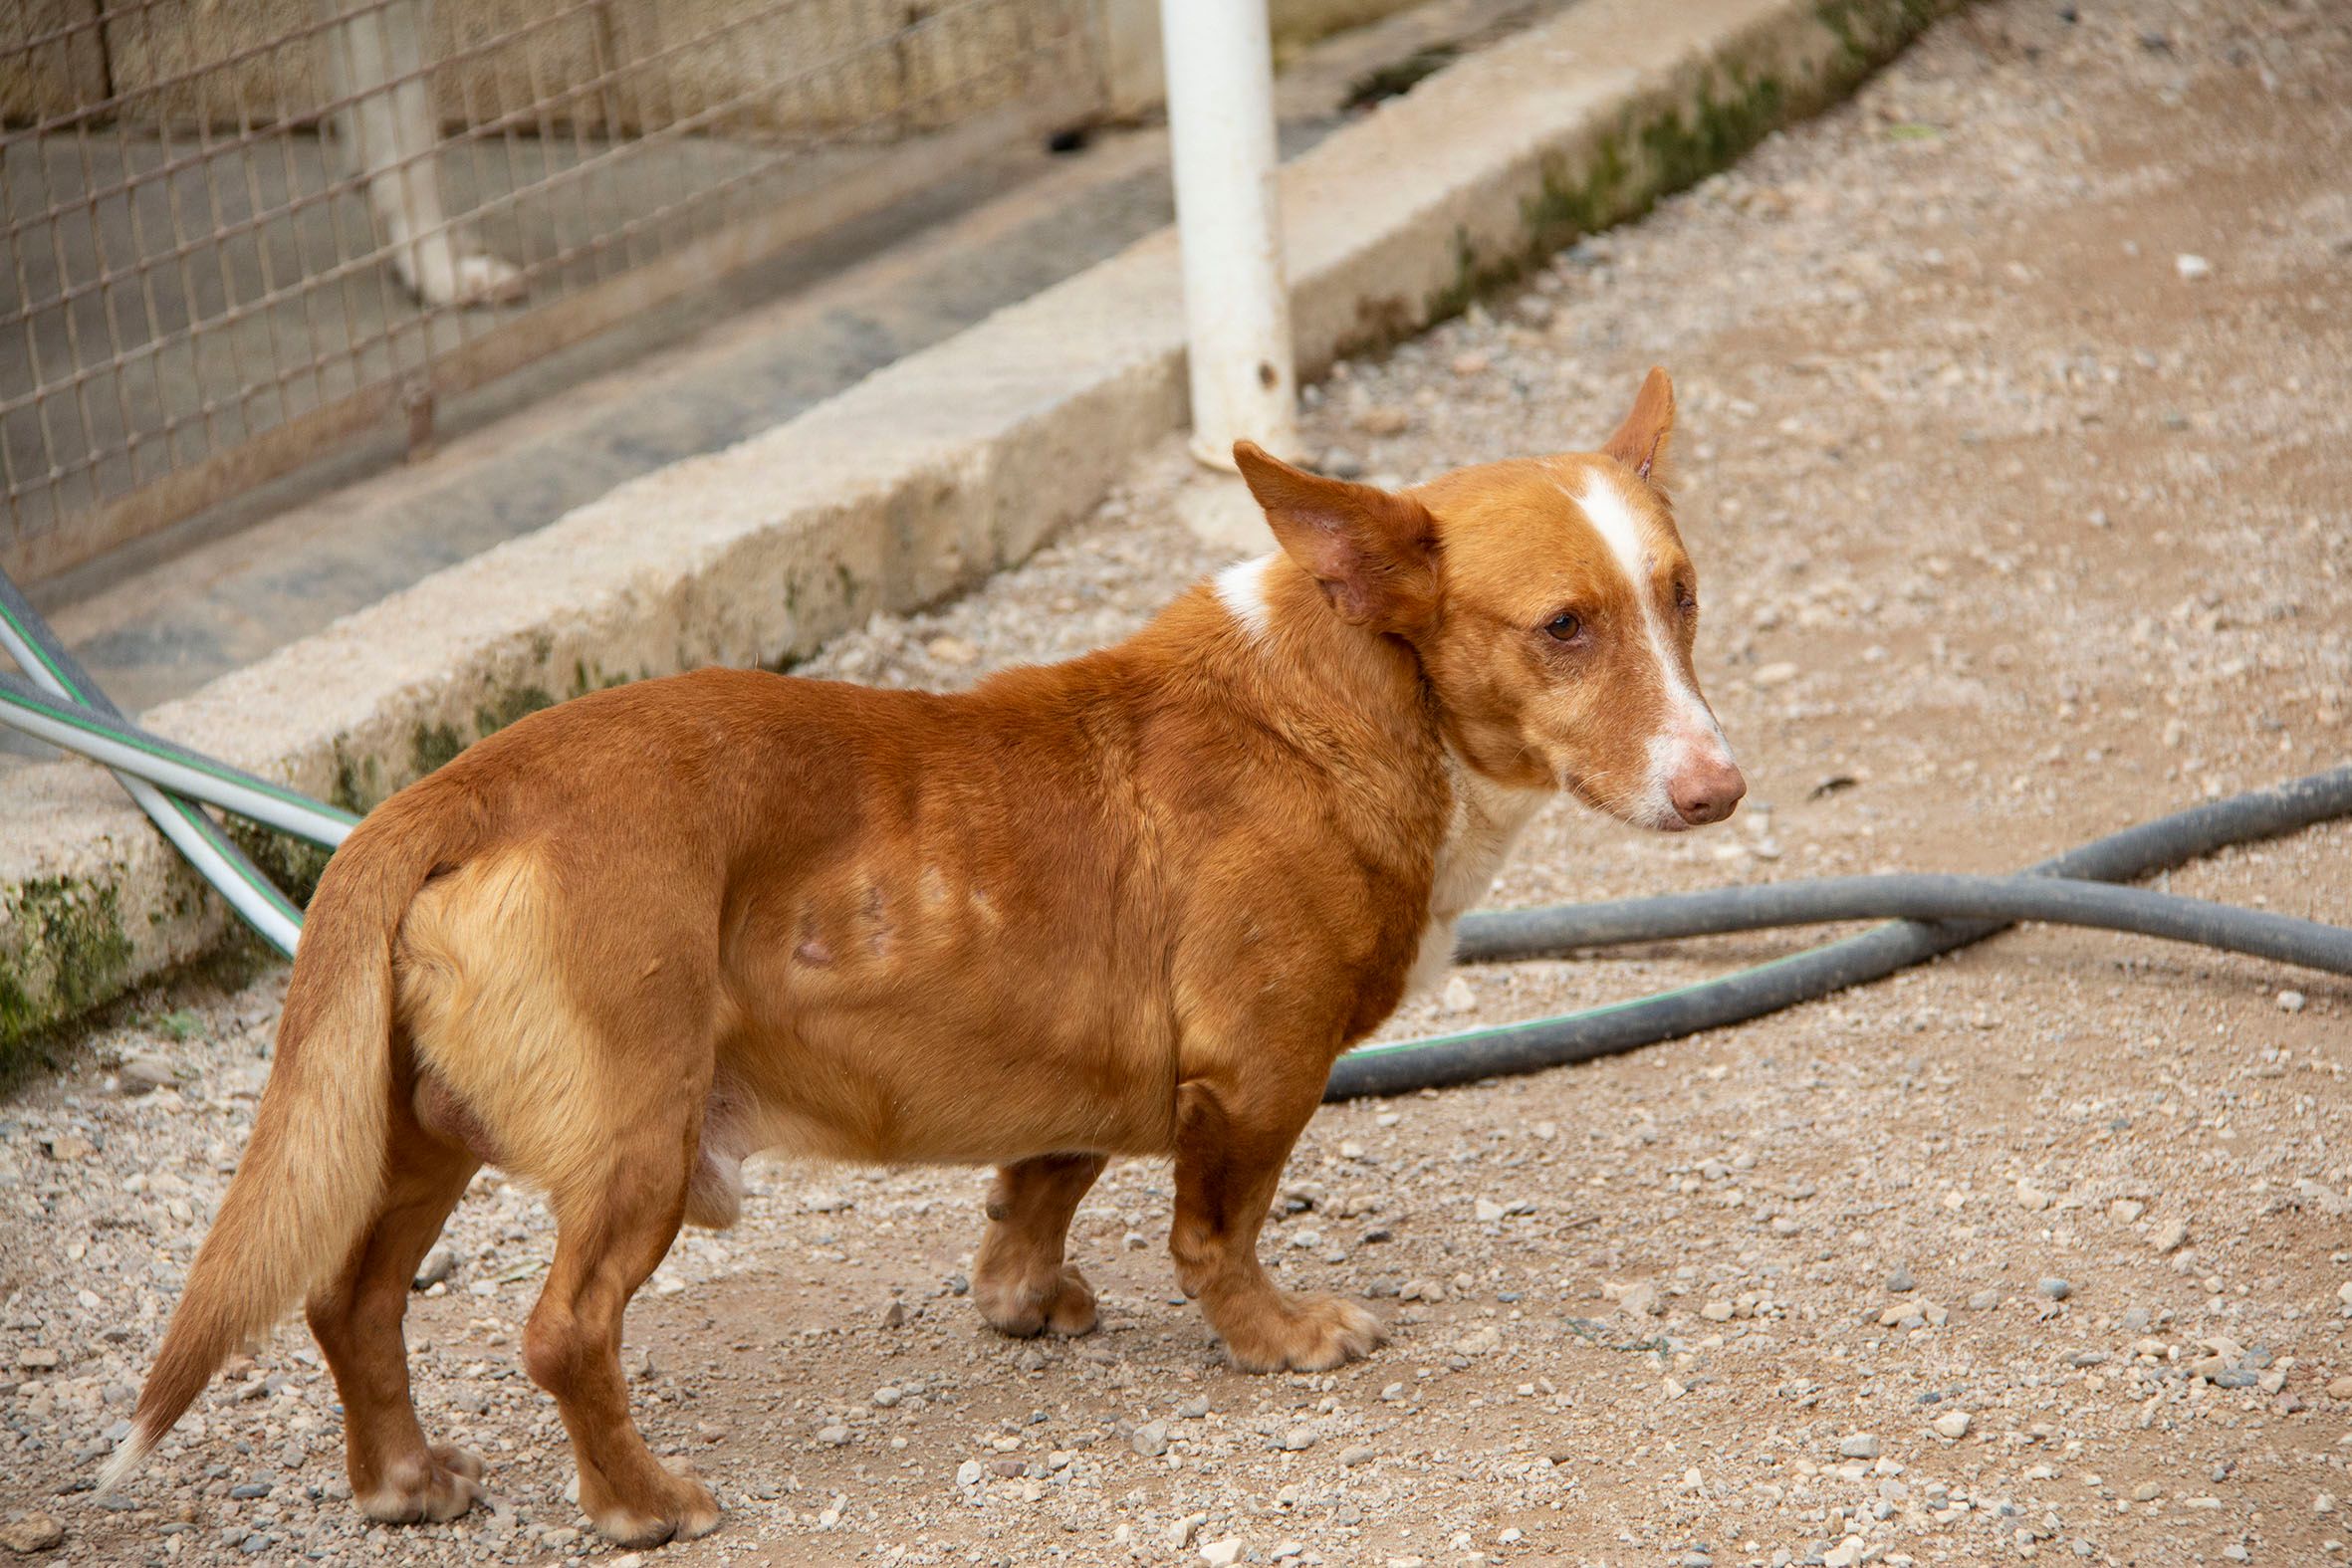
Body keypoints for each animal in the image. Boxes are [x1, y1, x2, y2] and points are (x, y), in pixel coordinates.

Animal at [100, 368, 1742, 1546]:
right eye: (1561, 626)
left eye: (1680, 594)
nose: (1720, 790)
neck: (1345, 694)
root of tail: (457, 788)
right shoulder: (1256, 1073)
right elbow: (1217, 1233)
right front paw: (1277, 1337)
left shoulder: (1088, 1058)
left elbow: (1041, 1185)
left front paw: (1026, 1301)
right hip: (633, 1139)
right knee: (563, 1332)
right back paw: (642, 1504)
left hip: (413, 1134)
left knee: (350, 1302)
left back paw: (402, 1479)